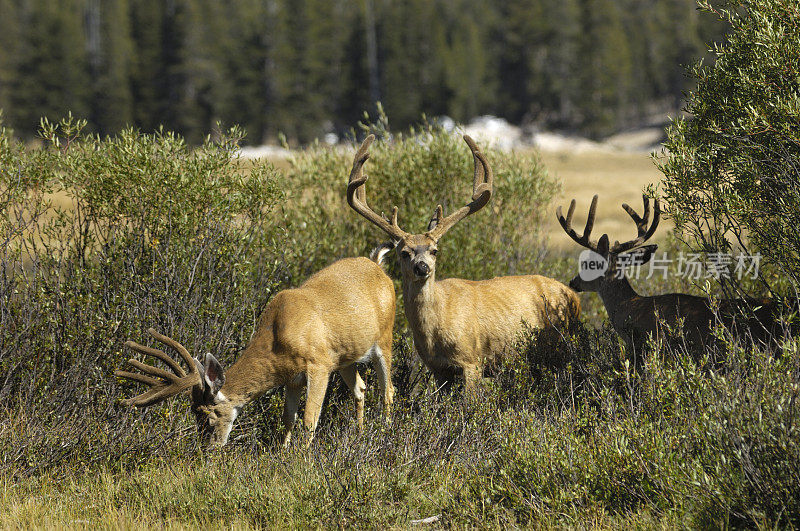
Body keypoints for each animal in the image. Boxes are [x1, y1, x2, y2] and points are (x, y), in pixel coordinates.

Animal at [114, 250, 396, 448]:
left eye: (209, 415)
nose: (209, 448)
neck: (277, 337)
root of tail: (378, 266)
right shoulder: (293, 378)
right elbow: (288, 418)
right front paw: (283, 453)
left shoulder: (319, 365)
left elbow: (309, 419)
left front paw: (303, 460)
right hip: (346, 357)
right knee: (361, 388)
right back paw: (360, 435)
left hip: (385, 337)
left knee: (388, 390)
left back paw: (385, 433)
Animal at [346, 135, 580, 392]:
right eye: (404, 253)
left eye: (434, 250)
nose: (422, 267)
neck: (436, 328)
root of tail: (572, 295)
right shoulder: (438, 369)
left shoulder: (472, 360)